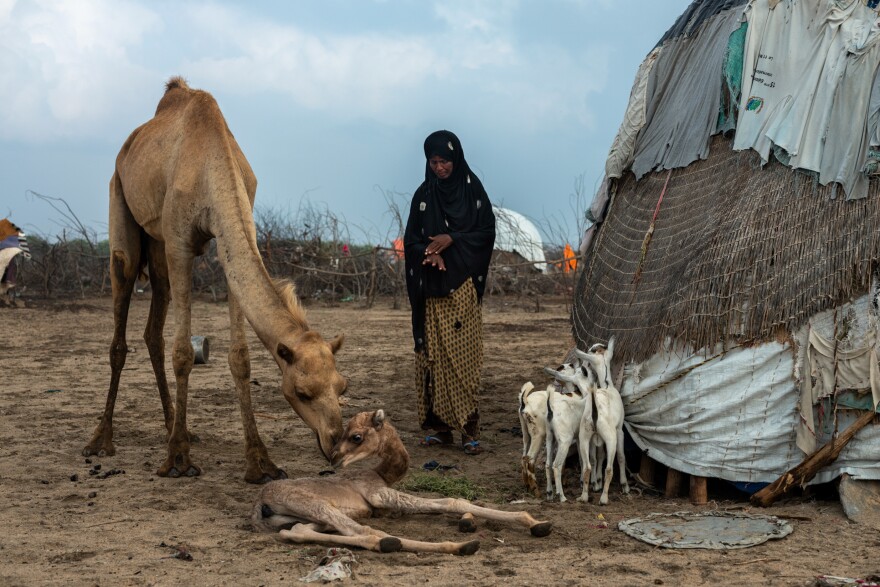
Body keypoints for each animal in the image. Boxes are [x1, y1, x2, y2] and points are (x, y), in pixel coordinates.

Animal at [82, 77, 347, 483]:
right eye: (301, 392)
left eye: (343, 386)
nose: (335, 443)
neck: (211, 167)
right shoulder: (180, 243)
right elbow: (182, 352)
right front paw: (178, 460)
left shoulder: (228, 239)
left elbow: (240, 357)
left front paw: (260, 463)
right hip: (122, 210)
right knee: (121, 313)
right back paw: (101, 440)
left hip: (157, 248)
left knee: (153, 331)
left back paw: (175, 425)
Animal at [253, 410, 553, 555]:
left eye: (356, 436)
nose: (334, 458)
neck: (381, 473)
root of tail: (259, 507)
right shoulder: (377, 494)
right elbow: (452, 500)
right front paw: (534, 521)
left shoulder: (382, 505)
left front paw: (469, 521)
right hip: (316, 505)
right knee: (369, 532)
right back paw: (457, 547)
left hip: (310, 515)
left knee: (297, 530)